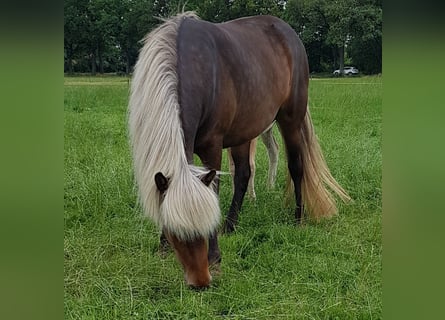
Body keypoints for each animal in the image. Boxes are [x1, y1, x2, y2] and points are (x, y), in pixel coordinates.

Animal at [128, 11, 350, 288]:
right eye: (176, 232)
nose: (201, 282)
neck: (186, 63)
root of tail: (288, 32)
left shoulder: (212, 147)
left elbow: (214, 190)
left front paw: (215, 257)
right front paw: (163, 247)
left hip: (290, 120)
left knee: (296, 167)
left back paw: (297, 219)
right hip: (244, 133)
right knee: (244, 174)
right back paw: (231, 225)